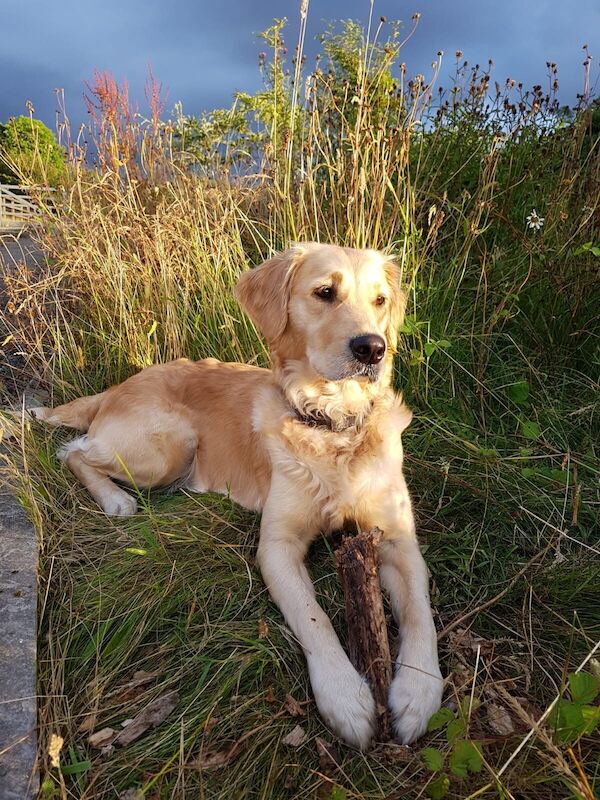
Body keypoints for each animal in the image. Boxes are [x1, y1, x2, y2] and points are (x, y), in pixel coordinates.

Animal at [34, 244, 446, 752]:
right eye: (324, 293)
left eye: (380, 300)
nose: (372, 348)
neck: (334, 426)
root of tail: (117, 386)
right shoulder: (277, 547)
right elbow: (313, 617)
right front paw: (345, 697)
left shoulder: (397, 538)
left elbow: (420, 613)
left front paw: (418, 692)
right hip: (168, 444)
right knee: (73, 452)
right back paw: (115, 500)